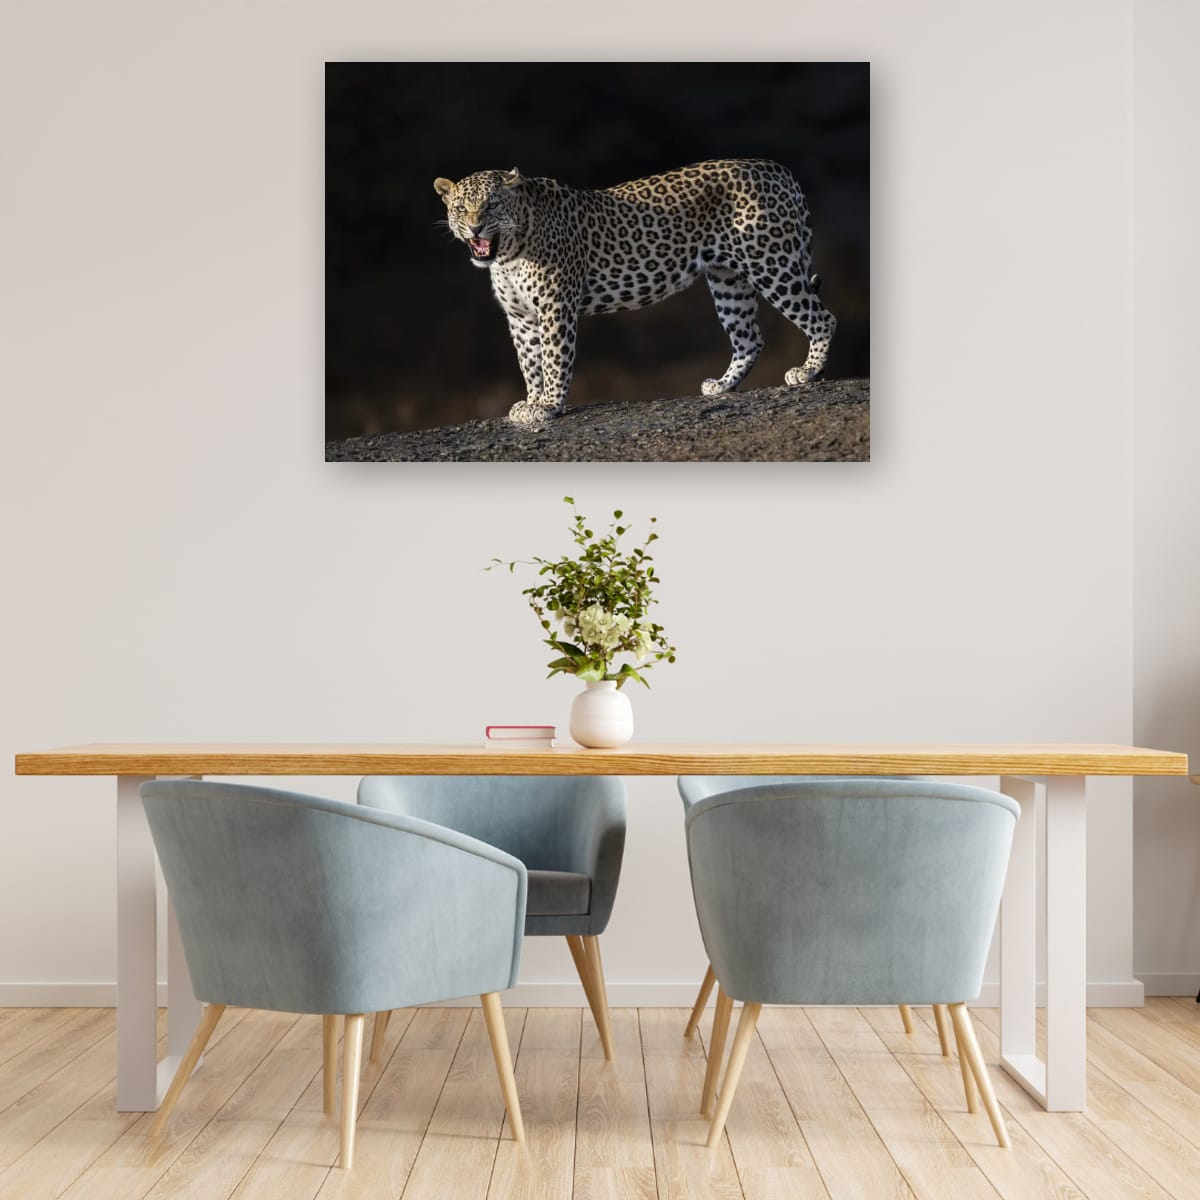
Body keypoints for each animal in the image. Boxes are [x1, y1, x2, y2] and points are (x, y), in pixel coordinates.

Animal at [433, 158, 837, 425]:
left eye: (490, 205)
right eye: (461, 208)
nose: (475, 227)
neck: (509, 253)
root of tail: (777, 169)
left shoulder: (555, 307)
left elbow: (553, 359)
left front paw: (548, 405)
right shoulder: (520, 317)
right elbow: (529, 362)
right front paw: (532, 401)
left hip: (771, 262)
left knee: (823, 318)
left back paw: (807, 371)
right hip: (727, 278)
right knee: (749, 338)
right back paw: (722, 386)